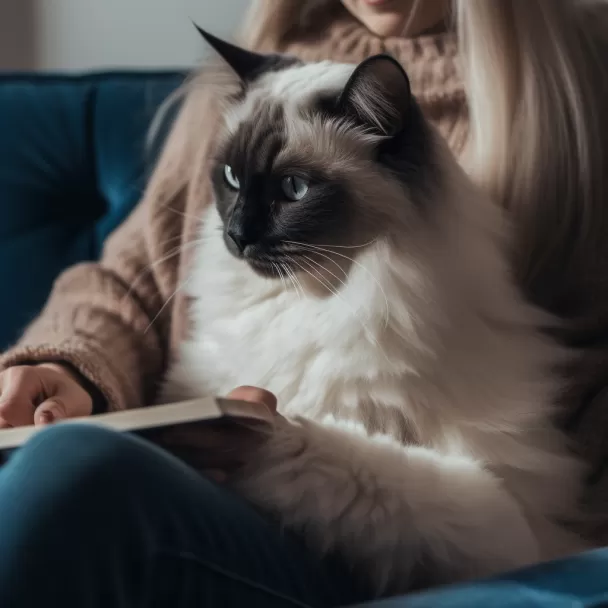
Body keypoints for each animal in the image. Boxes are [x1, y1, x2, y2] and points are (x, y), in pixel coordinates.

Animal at [159, 27, 588, 592]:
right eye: (231, 177)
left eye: (293, 189)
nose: (235, 235)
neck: (319, 301)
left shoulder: (513, 530)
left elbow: (344, 458)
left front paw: (255, 430)